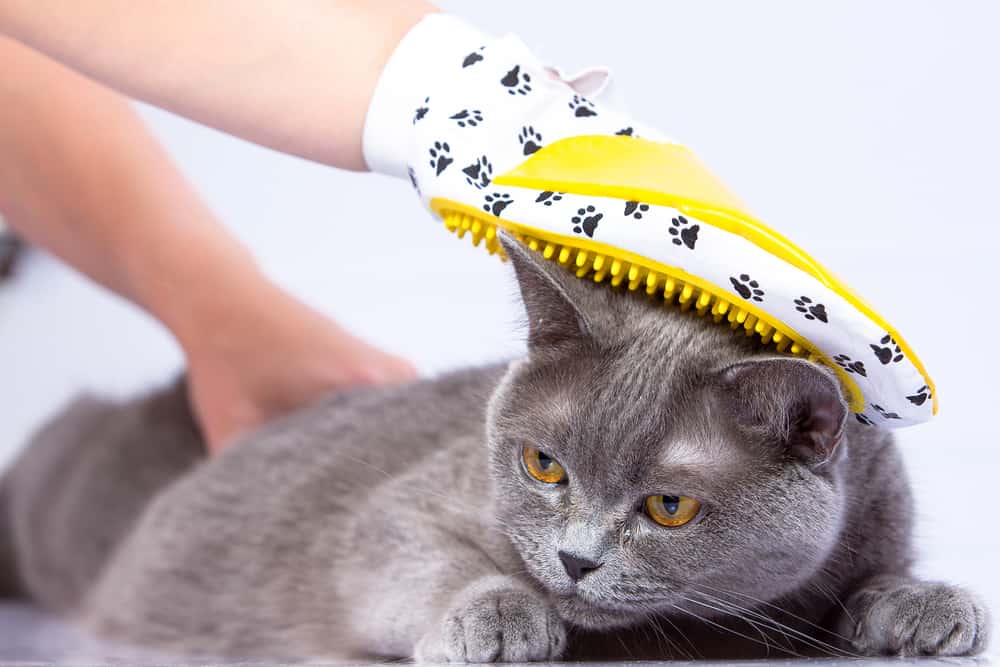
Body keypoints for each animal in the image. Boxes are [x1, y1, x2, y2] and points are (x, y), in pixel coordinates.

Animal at [0, 236, 984, 664]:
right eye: (543, 465)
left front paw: (925, 602)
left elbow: (880, 569)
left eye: (669, 507)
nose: (575, 561)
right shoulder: (399, 513)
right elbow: (416, 556)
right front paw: (500, 616)